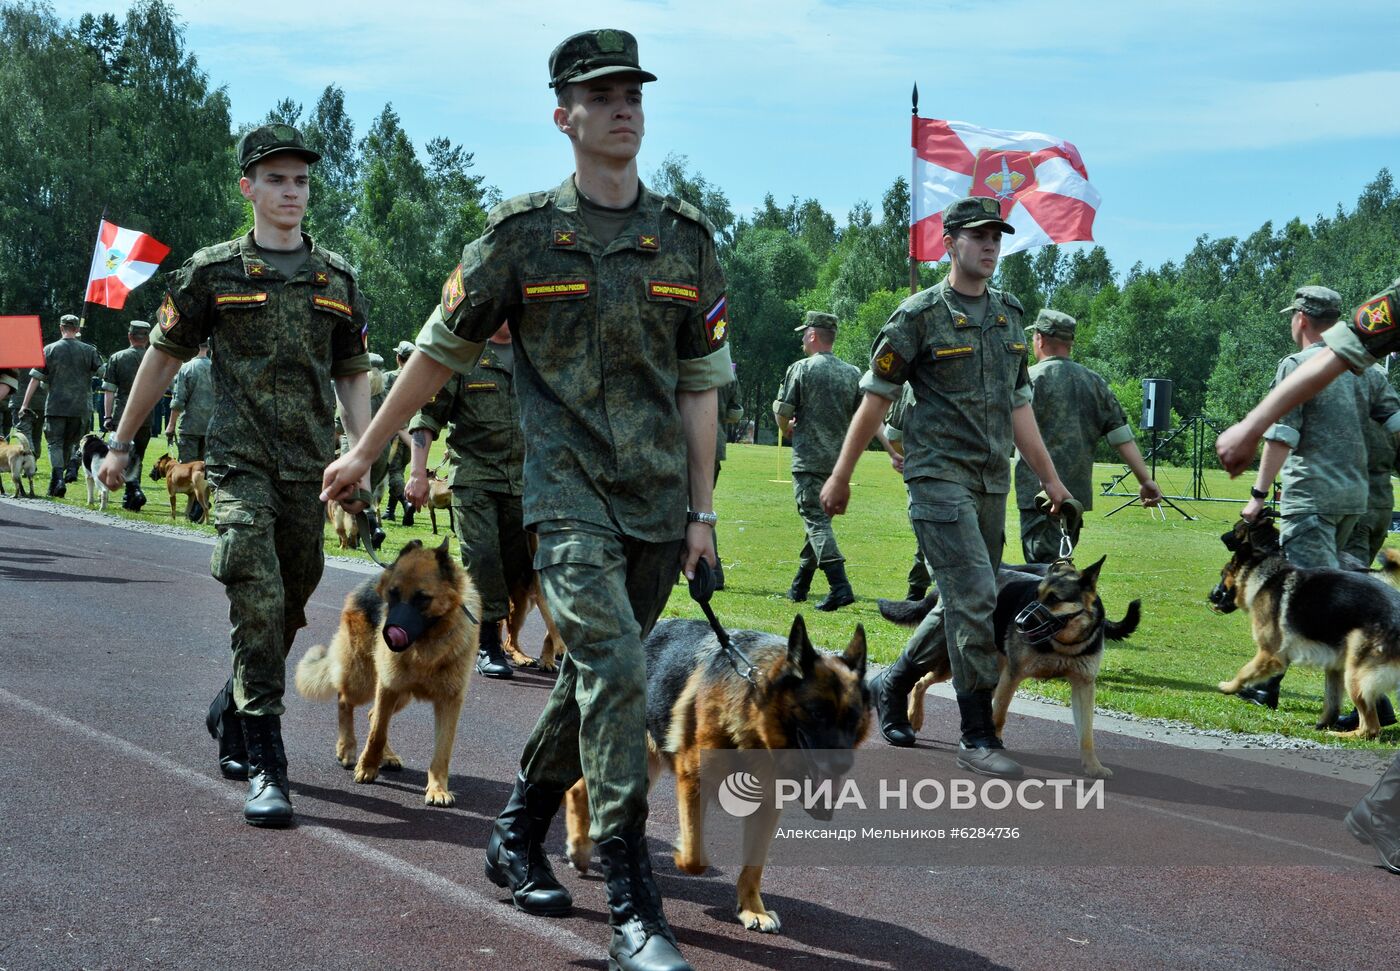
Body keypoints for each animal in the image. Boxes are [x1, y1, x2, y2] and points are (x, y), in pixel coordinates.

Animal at [295, 540, 481, 805]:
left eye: (422, 598)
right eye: (393, 594)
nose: (389, 633)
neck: (425, 646)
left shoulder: (449, 702)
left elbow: (442, 750)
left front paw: (438, 789)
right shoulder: (388, 686)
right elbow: (377, 734)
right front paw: (367, 768)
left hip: (400, 695)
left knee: (372, 713)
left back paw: (386, 756)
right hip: (364, 681)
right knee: (345, 700)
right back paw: (347, 748)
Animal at [562, 615, 868, 934]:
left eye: (853, 719)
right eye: (817, 713)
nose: (843, 765)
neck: (754, 716)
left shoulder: (767, 807)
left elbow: (754, 866)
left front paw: (751, 908)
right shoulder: (693, 781)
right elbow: (694, 857)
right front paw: (679, 852)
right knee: (579, 788)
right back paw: (580, 848)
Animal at [884, 559, 1136, 777]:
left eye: (1054, 598)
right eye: (1036, 596)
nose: (1019, 623)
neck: (1063, 645)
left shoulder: (1084, 685)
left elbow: (1086, 733)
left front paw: (1093, 766)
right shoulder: (1012, 677)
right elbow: (999, 717)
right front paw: (991, 750)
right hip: (957, 662)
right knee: (920, 681)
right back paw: (914, 717)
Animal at [1204, 517, 1400, 738]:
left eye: (1223, 574)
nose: (1210, 595)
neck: (1264, 578)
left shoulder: (1270, 653)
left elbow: (1245, 671)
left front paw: (1230, 687)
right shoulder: (1333, 666)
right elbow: (1331, 702)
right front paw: (1322, 724)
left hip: (1355, 674)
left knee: (1371, 727)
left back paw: (1344, 734)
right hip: (1349, 667)